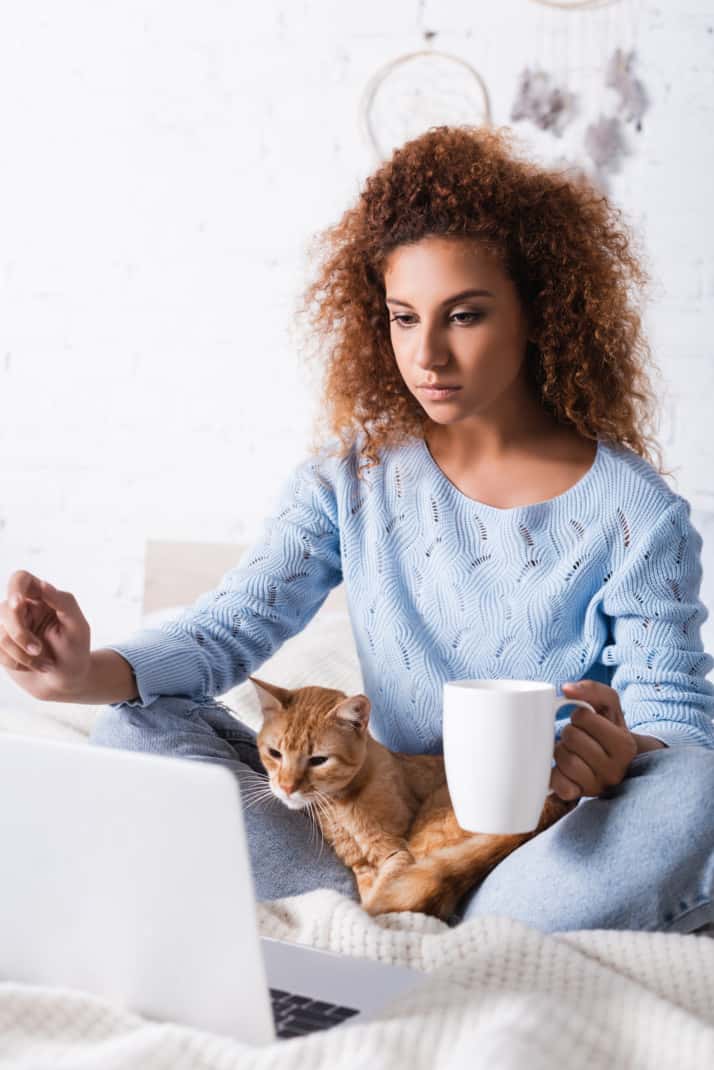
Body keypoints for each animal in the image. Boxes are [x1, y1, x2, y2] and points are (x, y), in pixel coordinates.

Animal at [248, 676, 578, 920]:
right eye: (274, 753)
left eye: (318, 760)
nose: (286, 787)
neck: (340, 807)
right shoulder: (361, 867)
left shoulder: (396, 854)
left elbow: (378, 898)